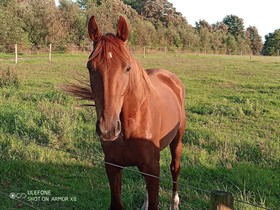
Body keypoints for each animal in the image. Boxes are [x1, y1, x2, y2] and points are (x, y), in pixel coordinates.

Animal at [68, 15, 186, 209]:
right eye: (89, 67)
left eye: (127, 68)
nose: (108, 129)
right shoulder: (113, 167)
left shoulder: (153, 170)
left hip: (177, 141)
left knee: (175, 168)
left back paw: (175, 203)